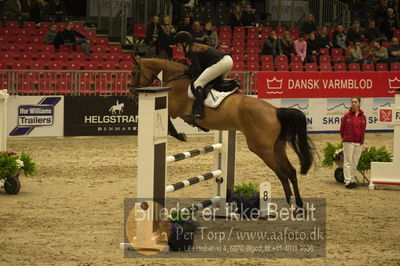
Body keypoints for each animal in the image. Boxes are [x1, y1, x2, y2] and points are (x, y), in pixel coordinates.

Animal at [130, 56, 314, 208]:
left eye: (133, 73)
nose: (131, 94)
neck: (177, 80)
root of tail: (275, 111)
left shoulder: (175, 109)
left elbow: (169, 120)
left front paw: (180, 135)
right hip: (277, 147)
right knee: (291, 171)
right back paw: (299, 205)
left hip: (262, 149)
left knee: (282, 173)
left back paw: (290, 203)